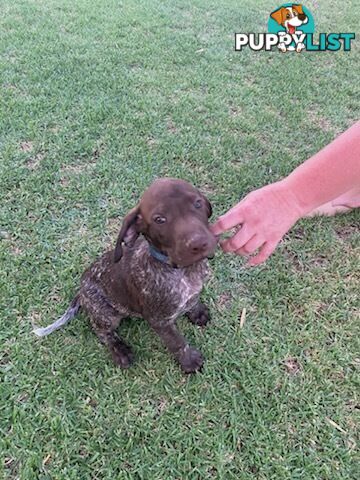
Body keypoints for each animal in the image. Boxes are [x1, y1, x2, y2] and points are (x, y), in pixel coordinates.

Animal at [33, 178, 217, 374]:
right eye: (159, 219)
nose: (199, 244)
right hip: (106, 314)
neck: (183, 271)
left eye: (197, 203)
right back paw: (120, 350)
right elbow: (177, 342)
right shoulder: (160, 321)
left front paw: (197, 312)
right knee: (101, 331)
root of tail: (81, 291)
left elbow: (193, 300)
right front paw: (189, 361)